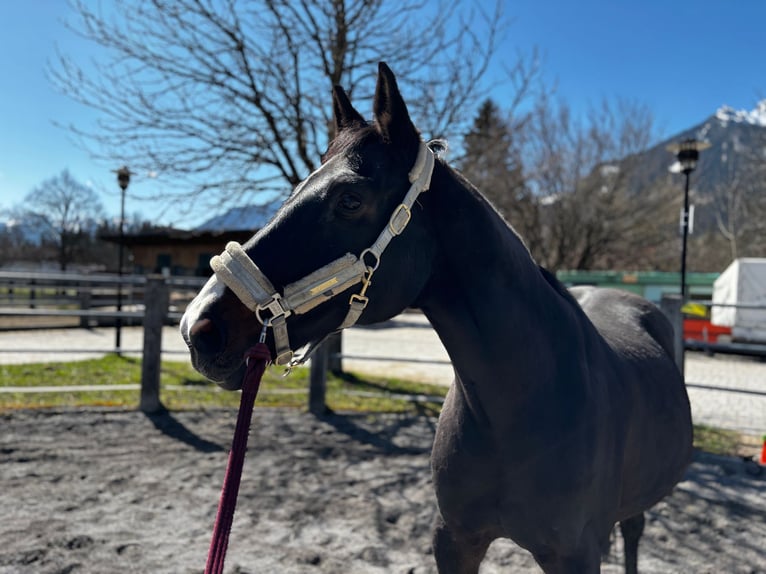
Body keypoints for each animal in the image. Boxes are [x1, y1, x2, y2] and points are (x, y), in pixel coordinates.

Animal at [180, 63, 693, 574]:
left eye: (349, 199)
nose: (198, 327)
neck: (523, 407)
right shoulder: (453, 540)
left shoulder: (575, 554)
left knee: (633, 534)